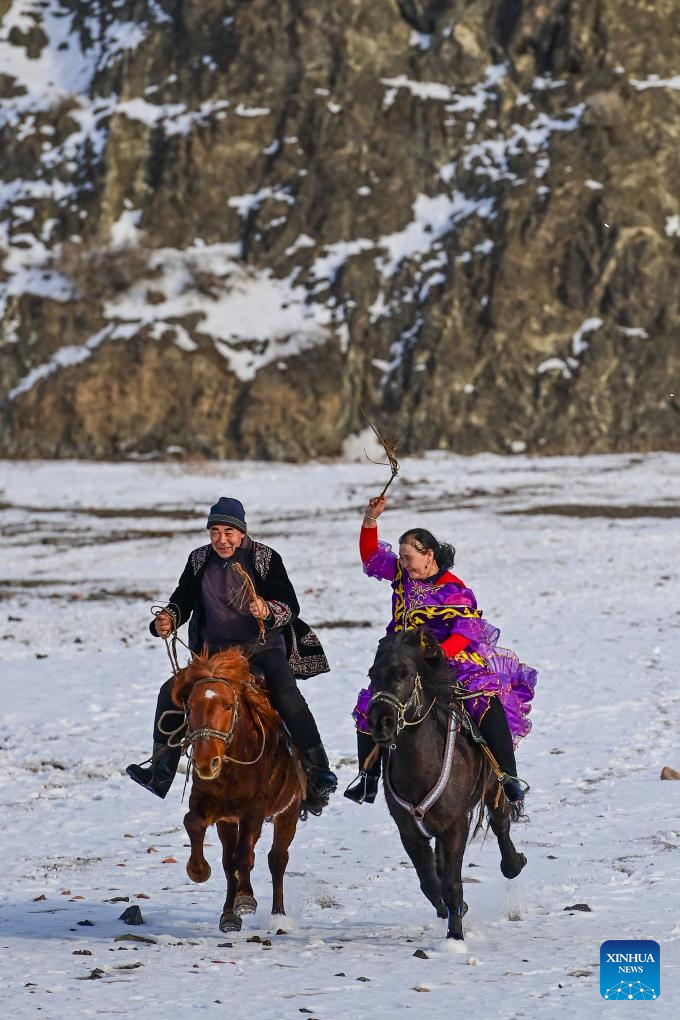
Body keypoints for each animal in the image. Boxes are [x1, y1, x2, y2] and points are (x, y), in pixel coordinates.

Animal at [173, 648, 303, 934]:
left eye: (228, 706)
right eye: (190, 707)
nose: (205, 762)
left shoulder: (255, 809)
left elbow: (245, 853)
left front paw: (245, 899)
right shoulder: (209, 803)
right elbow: (193, 823)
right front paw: (198, 870)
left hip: (288, 811)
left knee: (277, 858)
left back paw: (278, 916)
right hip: (228, 822)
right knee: (228, 860)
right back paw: (228, 915)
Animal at [367, 628, 526, 938]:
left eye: (405, 673)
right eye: (371, 674)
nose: (381, 722)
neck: (420, 771)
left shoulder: (455, 825)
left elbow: (451, 884)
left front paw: (455, 937)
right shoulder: (408, 830)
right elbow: (430, 882)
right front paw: (455, 912)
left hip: (494, 788)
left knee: (501, 826)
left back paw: (515, 863)